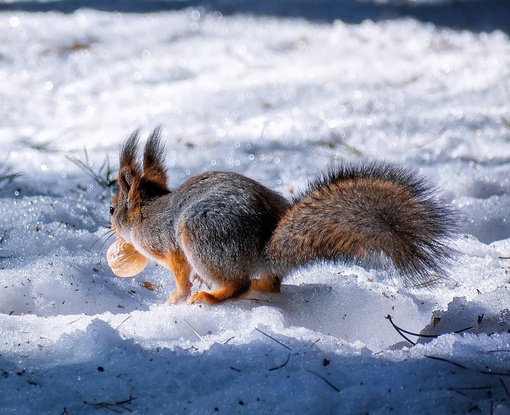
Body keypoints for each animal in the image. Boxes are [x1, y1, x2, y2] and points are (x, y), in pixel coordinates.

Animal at [109, 127, 456, 306]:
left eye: (112, 209)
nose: (110, 226)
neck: (147, 213)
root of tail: (264, 252)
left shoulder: (170, 246)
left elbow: (181, 275)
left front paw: (177, 297)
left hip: (199, 236)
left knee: (237, 285)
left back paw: (209, 296)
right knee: (269, 286)